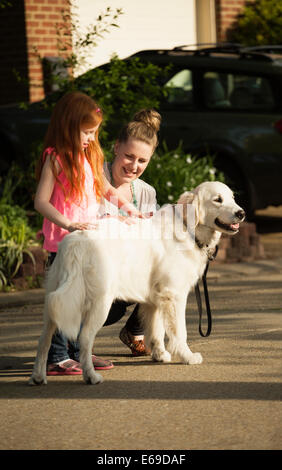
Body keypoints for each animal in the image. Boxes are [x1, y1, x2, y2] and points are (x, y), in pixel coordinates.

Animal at [29, 181, 245, 386]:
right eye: (217, 200)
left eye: (233, 198)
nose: (241, 213)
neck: (188, 228)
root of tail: (75, 243)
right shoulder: (174, 295)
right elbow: (179, 331)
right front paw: (187, 356)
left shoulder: (156, 299)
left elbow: (157, 330)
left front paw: (160, 354)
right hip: (99, 302)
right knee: (84, 338)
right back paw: (91, 376)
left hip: (55, 300)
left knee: (43, 340)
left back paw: (38, 377)